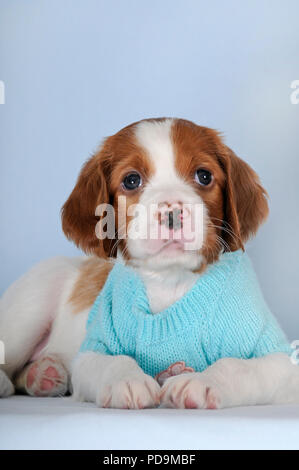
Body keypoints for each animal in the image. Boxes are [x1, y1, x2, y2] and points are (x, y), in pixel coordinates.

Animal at [0, 117, 299, 408]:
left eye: (204, 176)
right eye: (132, 180)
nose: (172, 212)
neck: (171, 283)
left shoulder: (281, 359)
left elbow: (237, 366)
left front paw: (201, 382)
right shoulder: (93, 350)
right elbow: (114, 361)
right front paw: (127, 380)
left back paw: (43, 374)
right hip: (32, 303)